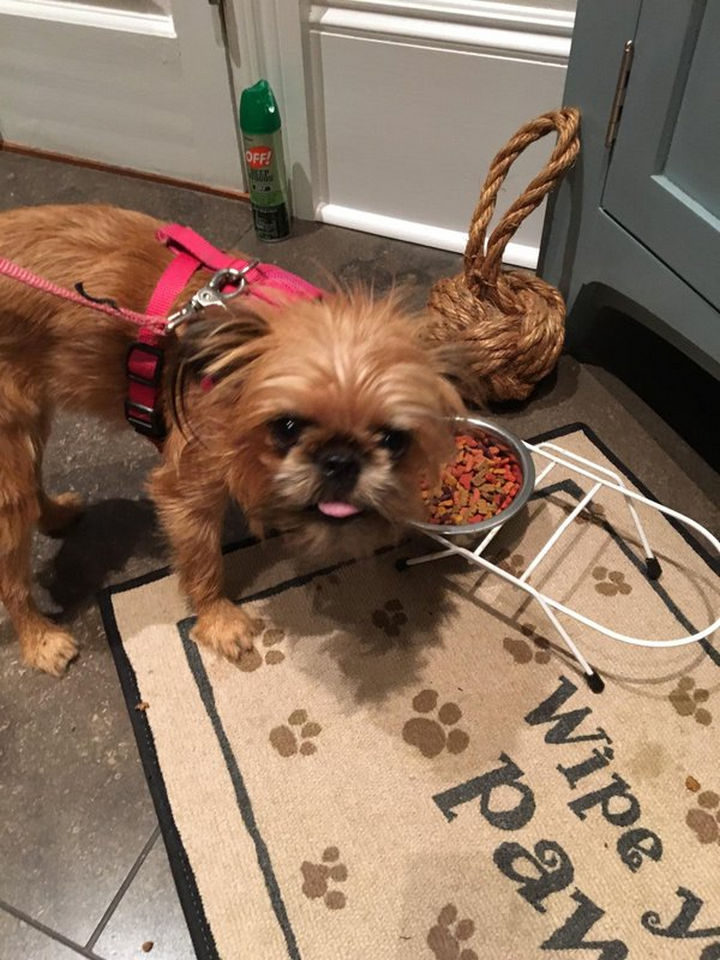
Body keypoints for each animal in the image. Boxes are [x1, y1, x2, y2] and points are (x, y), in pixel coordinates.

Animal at [0, 204, 464, 675]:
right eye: (286, 428)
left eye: (393, 439)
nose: (340, 461)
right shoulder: (187, 490)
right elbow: (203, 561)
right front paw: (219, 621)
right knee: (12, 574)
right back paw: (40, 639)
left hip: (29, 426)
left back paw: (55, 515)